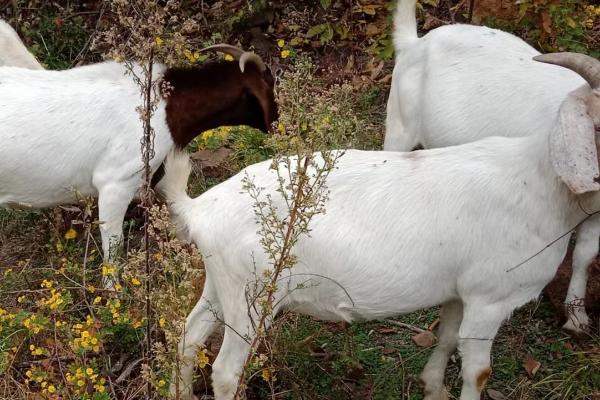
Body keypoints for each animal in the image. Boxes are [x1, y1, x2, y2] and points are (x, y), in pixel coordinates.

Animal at [0, 43, 276, 276]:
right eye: (270, 83)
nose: (275, 121)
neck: (165, 106)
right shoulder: (115, 184)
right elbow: (113, 246)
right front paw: (113, 293)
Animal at [161, 54, 600, 400]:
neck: (538, 182)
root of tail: (200, 209)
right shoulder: (490, 297)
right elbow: (478, 372)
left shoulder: (459, 290)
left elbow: (445, 337)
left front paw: (433, 388)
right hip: (253, 295)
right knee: (225, 371)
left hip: (223, 283)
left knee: (188, 337)